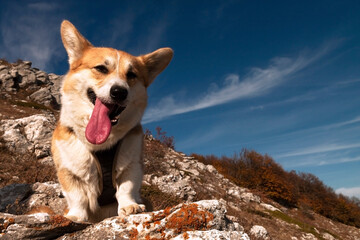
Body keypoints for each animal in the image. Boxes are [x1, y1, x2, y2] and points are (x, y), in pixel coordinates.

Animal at [51, 19, 174, 222]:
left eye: (131, 75)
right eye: (101, 68)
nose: (119, 92)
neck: (101, 144)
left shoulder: (132, 166)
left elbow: (126, 188)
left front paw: (130, 206)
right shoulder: (67, 172)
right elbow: (77, 197)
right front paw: (75, 216)